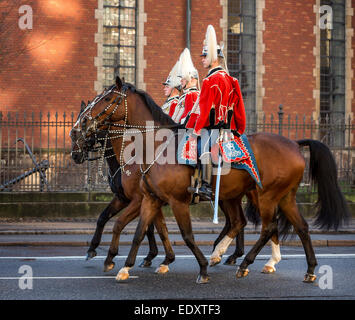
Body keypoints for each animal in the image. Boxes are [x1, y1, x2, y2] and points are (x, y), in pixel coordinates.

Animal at [76, 76, 350, 284]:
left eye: (107, 99)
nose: (81, 125)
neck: (154, 147)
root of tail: (293, 143)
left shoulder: (173, 201)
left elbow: (184, 235)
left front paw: (201, 268)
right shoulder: (151, 199)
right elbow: (139, 231)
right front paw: (126, 265)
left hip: (266, 196)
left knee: (266, 227)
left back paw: (244, 262)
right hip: (280, 196)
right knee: (296, 227)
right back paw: (307, 269)